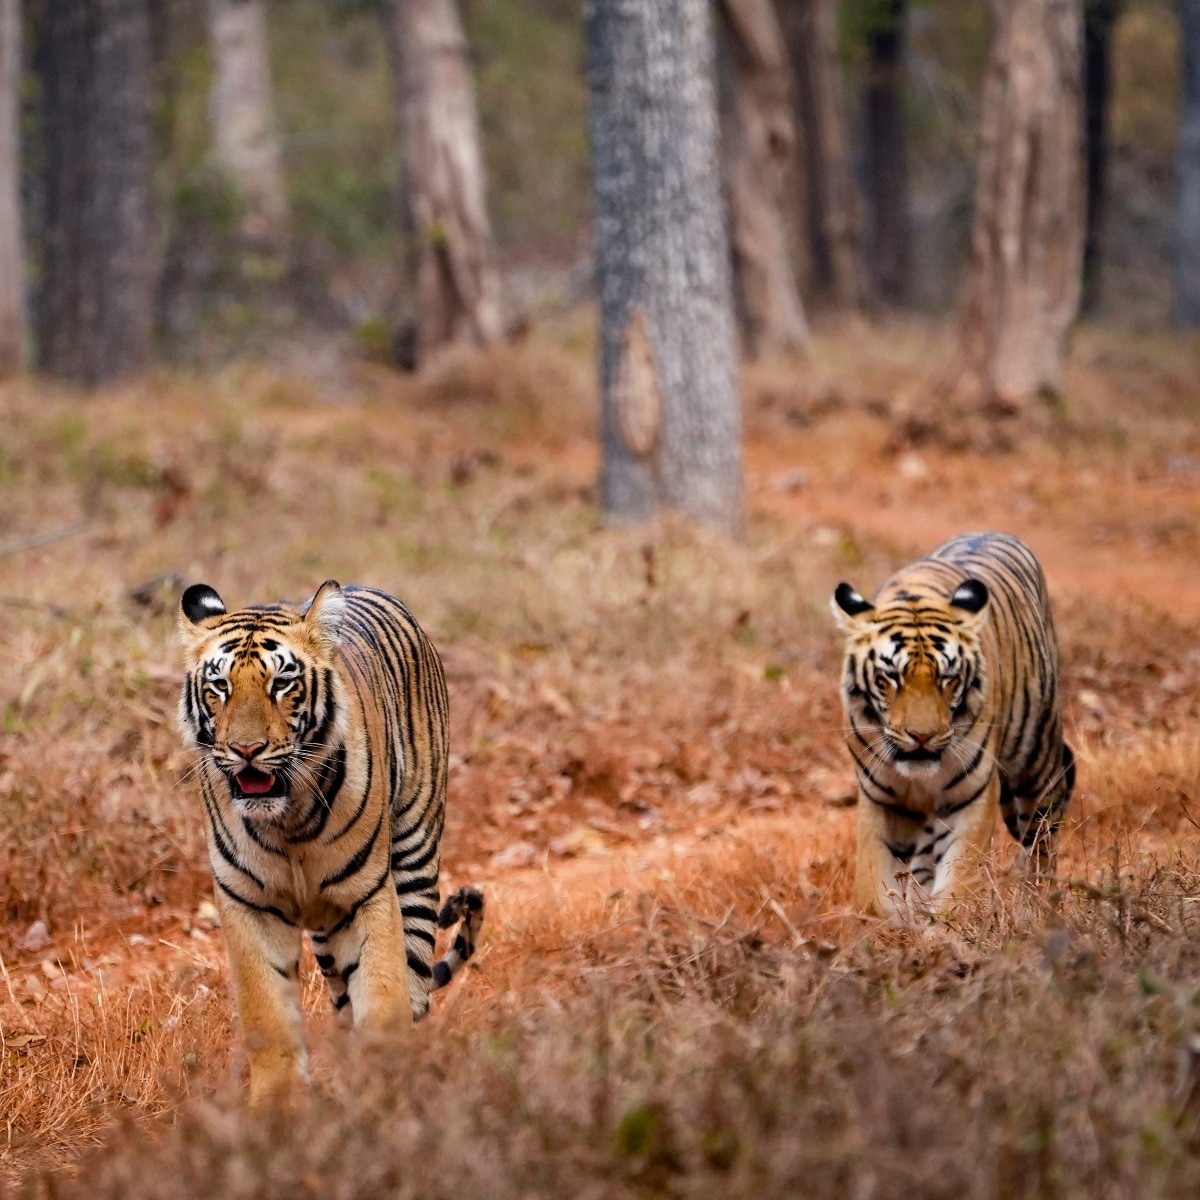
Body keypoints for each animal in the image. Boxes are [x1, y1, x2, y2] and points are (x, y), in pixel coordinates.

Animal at [177, 579, 483, 1104]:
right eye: (220, 686)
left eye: (282, 683)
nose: (245, 749)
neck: (287, 822)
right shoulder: (248, 904)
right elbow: (268, 1017)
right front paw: (277, 1105)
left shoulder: (366, 895)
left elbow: (383, 996)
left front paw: (385, 1088)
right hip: (324, 925)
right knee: (341, 996)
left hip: (415, 855)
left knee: (415, 975)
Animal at [831, 532, 1075, 918]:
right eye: (891, 677)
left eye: (948, 678)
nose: (922, 736)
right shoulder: (880, 798)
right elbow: (873, 889)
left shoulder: (972, 794)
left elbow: (960, 880)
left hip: (1037, 765)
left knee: (1041, 842)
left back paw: (1039, 909)